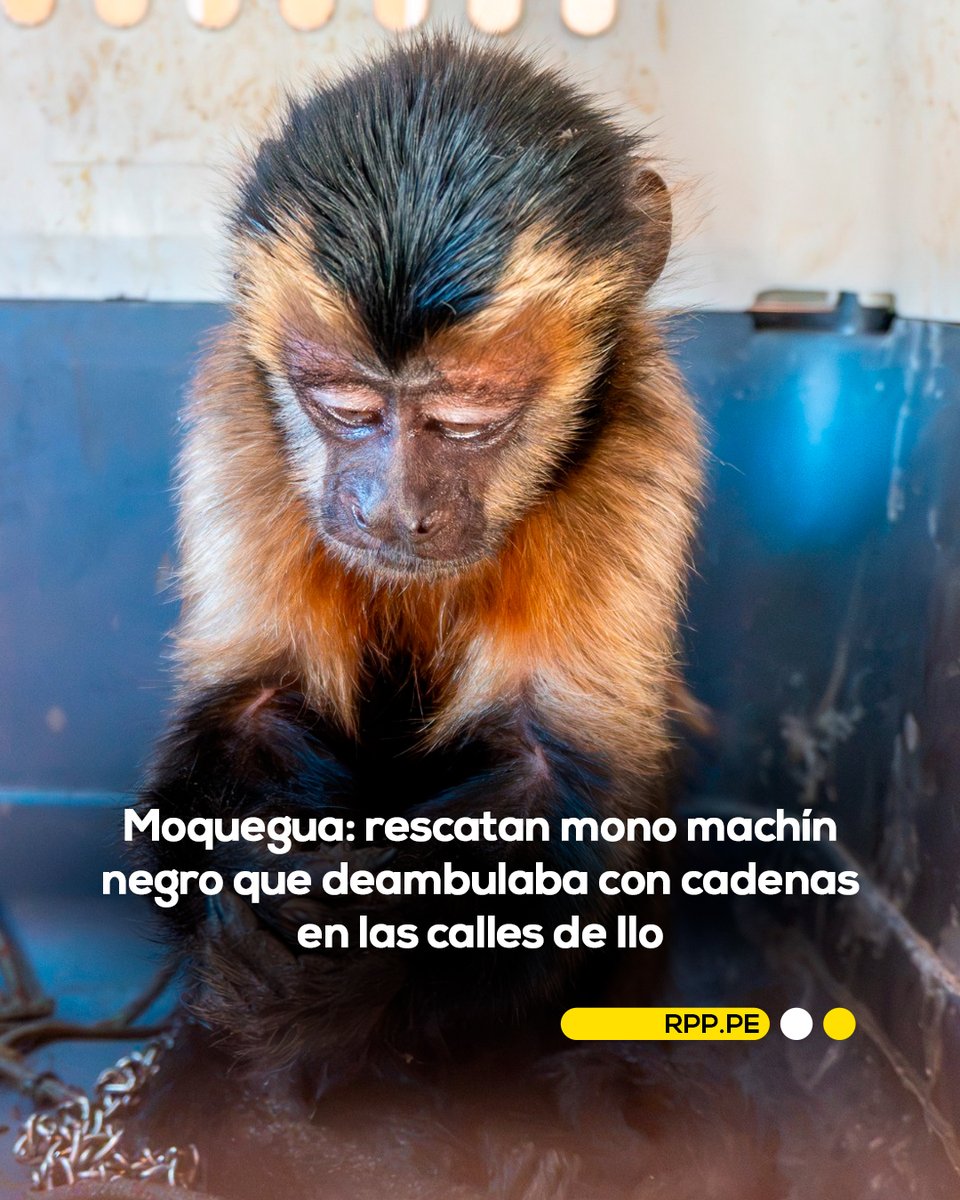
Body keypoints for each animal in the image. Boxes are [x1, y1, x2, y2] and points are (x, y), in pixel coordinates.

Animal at [136, 33, 704, 1091]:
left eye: (467, 418)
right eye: (344, 405)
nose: (392, 509)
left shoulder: (646, 443)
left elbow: (551, 772)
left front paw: (341, 974)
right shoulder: (233, 417)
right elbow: (254, 707)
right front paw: (272, 905)